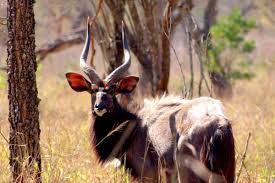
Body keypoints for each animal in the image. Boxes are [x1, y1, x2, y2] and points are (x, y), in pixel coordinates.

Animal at [66, 19, 236, 182]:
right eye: (93, 90)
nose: (99, 106)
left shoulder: (148, 174)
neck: (135, 126)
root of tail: (219, 125)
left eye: (113, 91)